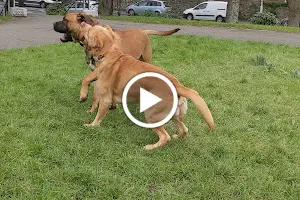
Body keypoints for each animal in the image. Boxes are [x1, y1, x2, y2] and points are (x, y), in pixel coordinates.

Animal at [81, 24, 214, 150]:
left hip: (152, 116)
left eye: (90, 30)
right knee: (184, 129)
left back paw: (150, 147)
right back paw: (176, 137)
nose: (83, 22)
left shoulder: (106, 99)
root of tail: (178, 85)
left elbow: (98, 117)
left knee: (165, 136)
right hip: (174, 116)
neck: (108, 53)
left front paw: (91, 125)